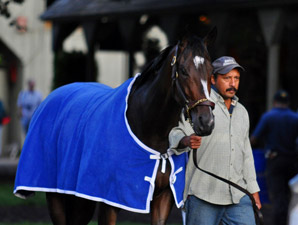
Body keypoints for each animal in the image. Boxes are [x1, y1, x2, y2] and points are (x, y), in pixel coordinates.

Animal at [14, 28, 217, 225]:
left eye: (211, 71)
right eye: (183, 70)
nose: (206, 121)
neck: (148, 130)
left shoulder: (164, 199)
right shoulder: (109, 203)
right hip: (56, 196)